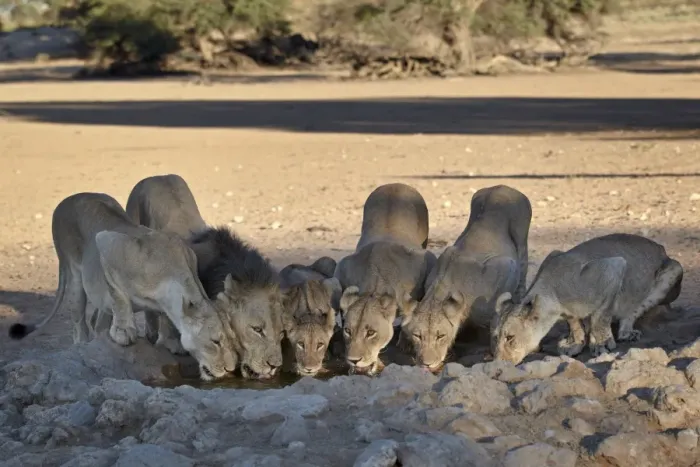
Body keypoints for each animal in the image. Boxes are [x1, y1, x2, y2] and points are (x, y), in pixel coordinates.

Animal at [8, 192, 235, 381]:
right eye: (216, 341)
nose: (229, 369)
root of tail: (66, 200)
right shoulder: (108, 244)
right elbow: (118, 295)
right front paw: (124, 332)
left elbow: (166, 316)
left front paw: (172, 341)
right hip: (73, 273)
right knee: (79, 322)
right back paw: (84, 344)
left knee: (97, 320)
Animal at [334, 183, 436, 375]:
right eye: (348, 331)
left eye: (371, 333)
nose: (354, 360)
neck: (375, 285)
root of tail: (395, 184)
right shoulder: (342, 269)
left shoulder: (426, 261)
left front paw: (406, 342)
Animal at [401, 185, 532, 371]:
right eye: (417, 335)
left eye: (441, 335)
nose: (427, 363)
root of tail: (502, 186)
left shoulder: (506, 266)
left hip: (521, 239)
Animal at [492, 233, 683, 365]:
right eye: (495, 337)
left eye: (510, 337)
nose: (498, 362)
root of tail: (661, 248)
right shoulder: (555, 255)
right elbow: (574, 322)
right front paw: (575, 343)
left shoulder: (613, 267)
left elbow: (601, 317)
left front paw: (602, 344)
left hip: (674, 270)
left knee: (633, 311)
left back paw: (626, 332)